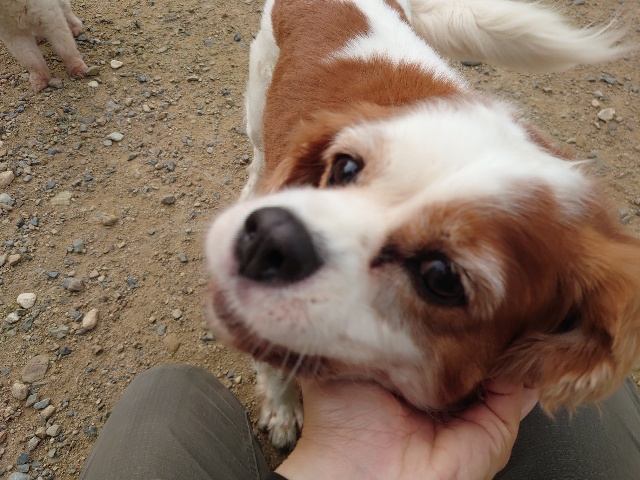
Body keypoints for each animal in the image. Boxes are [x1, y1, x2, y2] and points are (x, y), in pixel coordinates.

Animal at [205, 0, 640, 448]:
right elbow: (275, 370)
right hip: (259, 94)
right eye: (344, 167)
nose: (269, 235)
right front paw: (283, 410)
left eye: (441, 277)